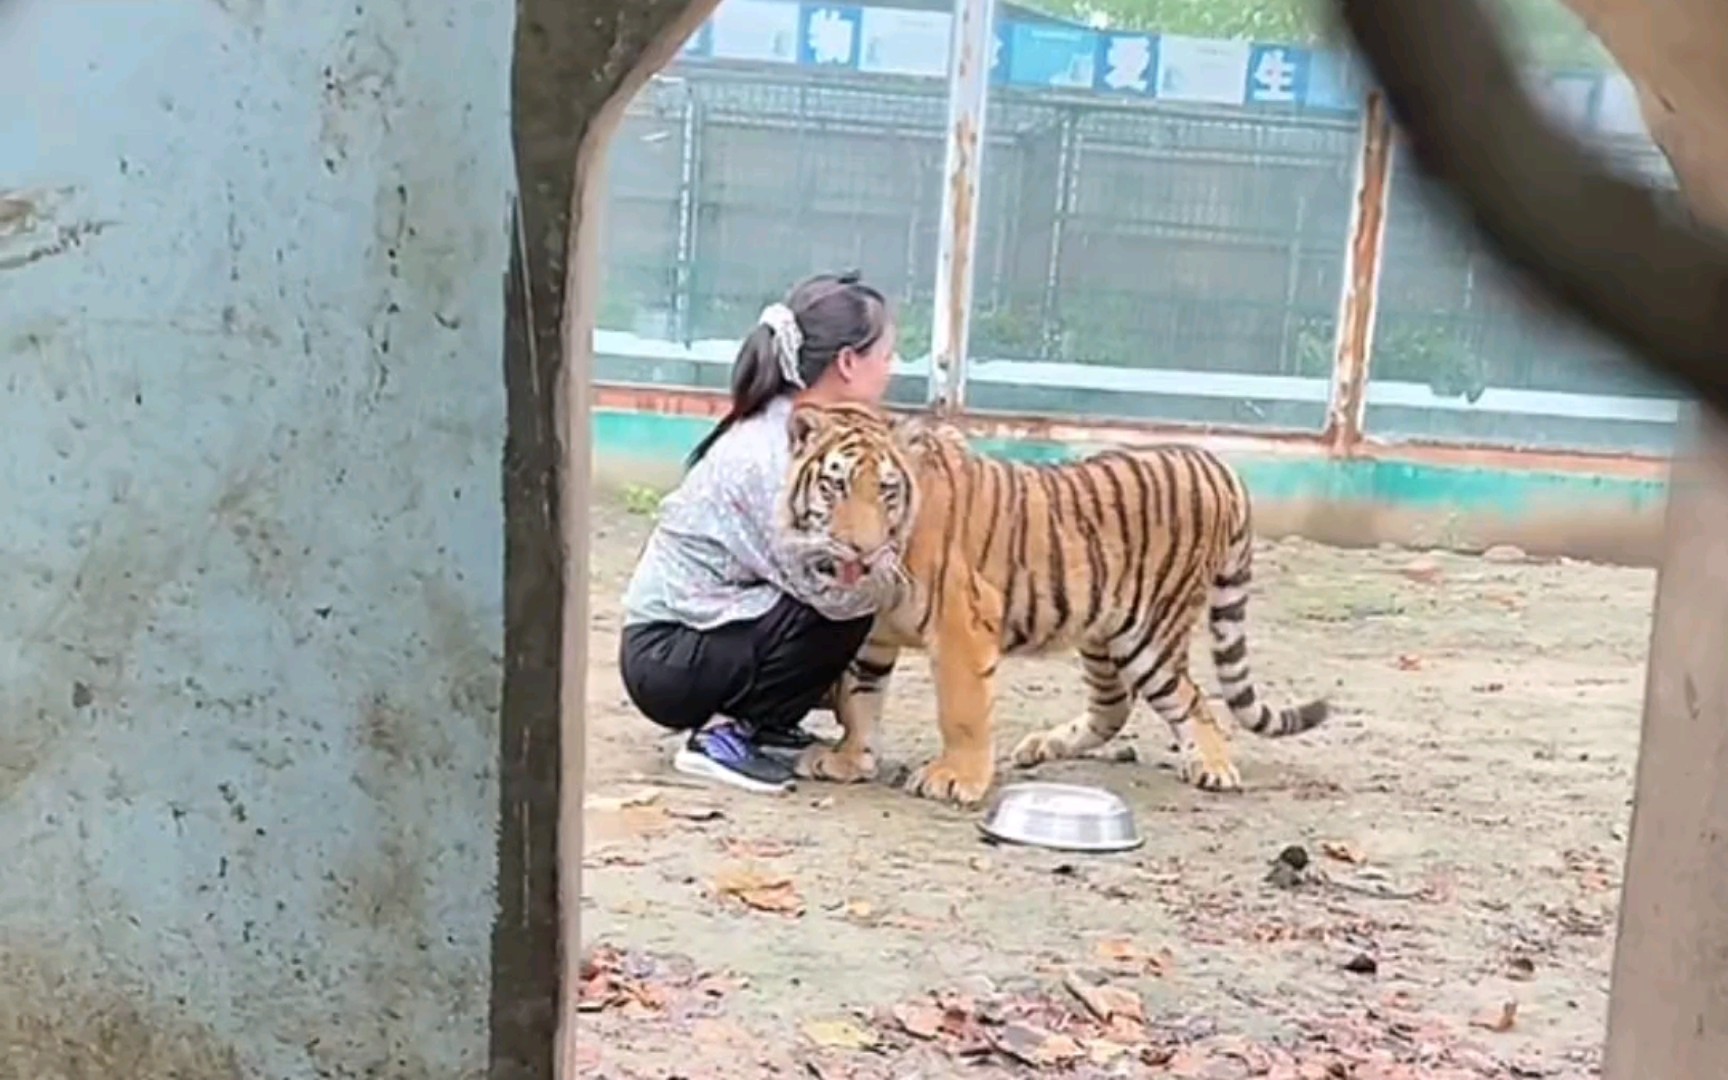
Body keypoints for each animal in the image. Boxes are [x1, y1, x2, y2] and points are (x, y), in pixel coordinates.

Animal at [777, 400, 1327, 805]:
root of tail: (1216, 464)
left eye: (887, 492)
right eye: (835, 486)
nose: (861, 551)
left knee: (1192, 700)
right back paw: (1043, 746)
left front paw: (957, 778)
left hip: (1149, 635)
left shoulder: (962, 622)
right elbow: (860, 697)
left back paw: (1213, 767)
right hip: (1103, 630)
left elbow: (961, 708)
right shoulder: (872, 635)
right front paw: (849, 760)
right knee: (1113, 706)